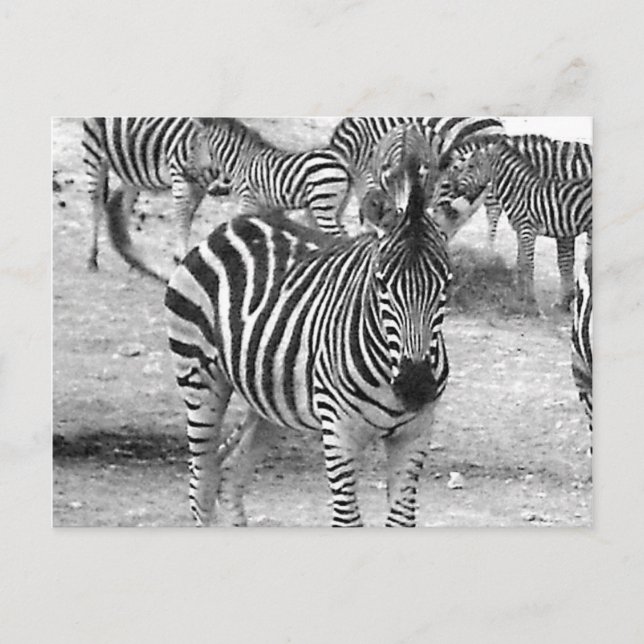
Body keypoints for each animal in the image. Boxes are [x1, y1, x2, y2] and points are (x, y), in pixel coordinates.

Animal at [82, 117, 231, 274]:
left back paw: (130, 257)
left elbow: (188, 218)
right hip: (94, 153)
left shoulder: (200, 188)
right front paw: (180, 258)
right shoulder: (180, 176)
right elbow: (183, 220)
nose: (221, 189)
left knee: (124, 208)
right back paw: (93, 259)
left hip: (132, 171)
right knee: (97, 207)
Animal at [165, 149, 452, 527]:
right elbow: (348, 520)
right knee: (201, 480)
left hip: (269, 399)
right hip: (199, 379)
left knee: (229, 470)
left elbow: (402, 520)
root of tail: (230, 227)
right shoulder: (340, 433)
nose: (415, 386)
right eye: (381, 283)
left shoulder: (415, 434)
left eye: (446, 284)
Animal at [188, 118, 352, 237]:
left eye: (194, 147)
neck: (241, 161)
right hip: (335, 208)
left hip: (322, 205)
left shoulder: (248, 201)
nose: (189, 171)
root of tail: (340, 161)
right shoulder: (266, 208)